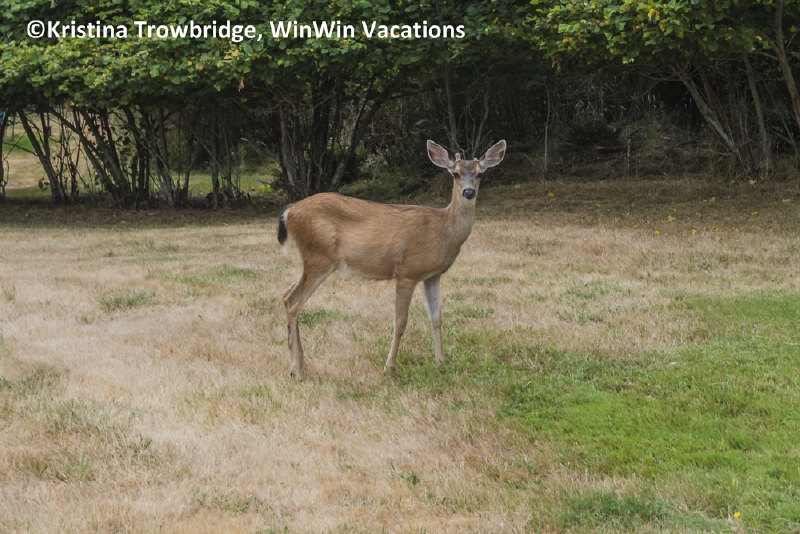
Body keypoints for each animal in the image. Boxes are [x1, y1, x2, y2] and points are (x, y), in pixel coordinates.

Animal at [277, 139, 506, 379]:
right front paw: (389, 367)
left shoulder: (432, 275)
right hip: (319, 256)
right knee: (293, 301)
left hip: (312, 258)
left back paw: (302, 365)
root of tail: (289, 211)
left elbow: (437, 318)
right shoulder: (407, 271)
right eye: (455, 173)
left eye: (480, 174)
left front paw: (441, 362)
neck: (443, 230)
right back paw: (296, 370)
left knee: (286, 294)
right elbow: (400, 321)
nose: (468, 192)